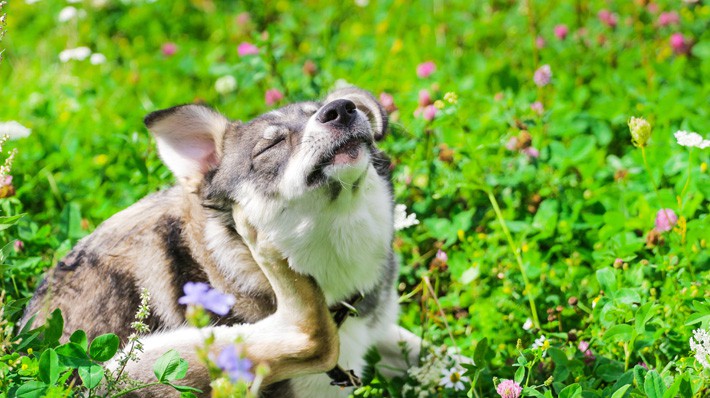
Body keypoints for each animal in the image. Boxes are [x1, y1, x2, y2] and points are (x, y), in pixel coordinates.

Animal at [22, 86, 422, 394]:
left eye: (329, 109)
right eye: (271, 146)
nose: (341, 108)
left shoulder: (382, 329)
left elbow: (428, 351)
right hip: (134, 366)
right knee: (310, 335)